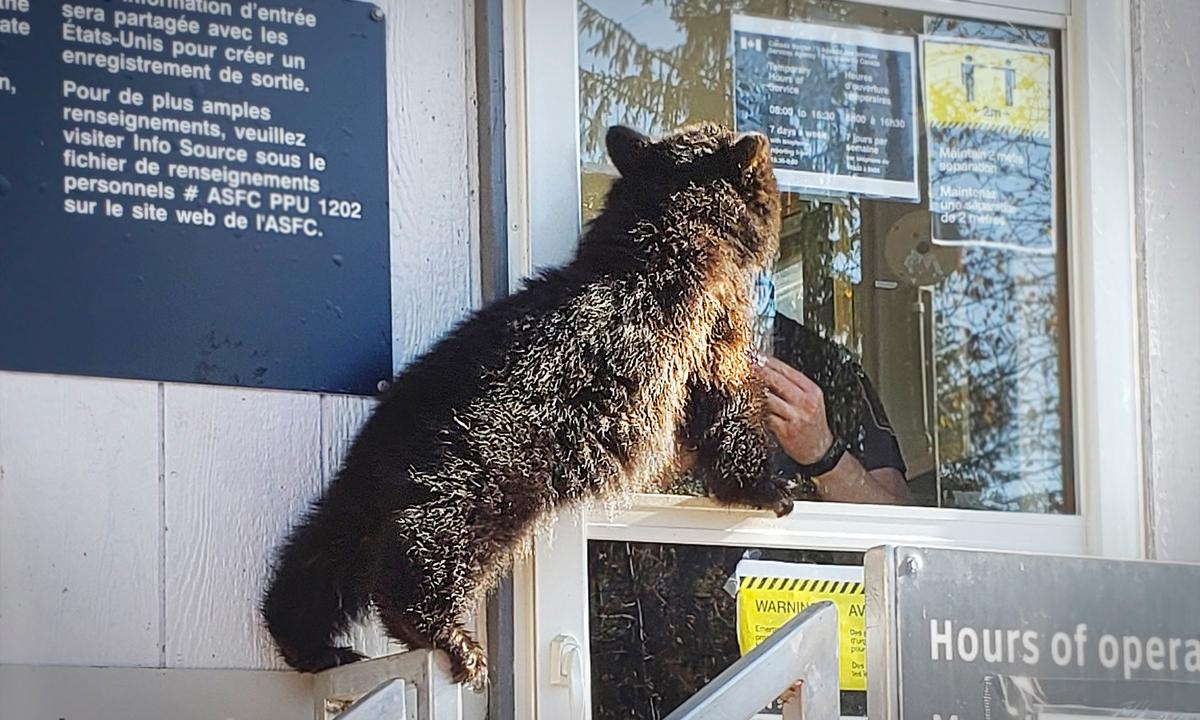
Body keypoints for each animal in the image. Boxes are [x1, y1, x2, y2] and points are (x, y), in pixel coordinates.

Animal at [260, 122, 792, 690]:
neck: (666, 233)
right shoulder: (709, 324)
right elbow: (725, 403)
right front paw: (769, 487)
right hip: (489, 467)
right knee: (430, 539)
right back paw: (447, 636)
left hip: (364, 477)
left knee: (326, 548)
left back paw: (310, 642)